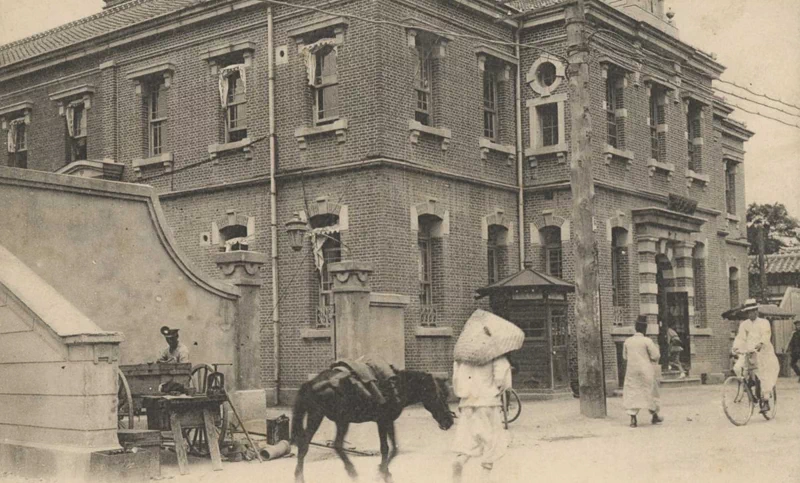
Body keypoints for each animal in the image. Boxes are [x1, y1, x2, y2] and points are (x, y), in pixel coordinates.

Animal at [292, 368, 456, 482]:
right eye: (440, 395)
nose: (449, 421)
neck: (395, 388)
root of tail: (311, 383)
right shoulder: (383, 421)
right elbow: (387, 448)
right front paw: (381, 472)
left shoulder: (387, 421)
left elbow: (392, 448)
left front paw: (385, 472)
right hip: (330, 418)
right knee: (326, 444)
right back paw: (350, 472)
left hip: (327, 418)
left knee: (315, 445)